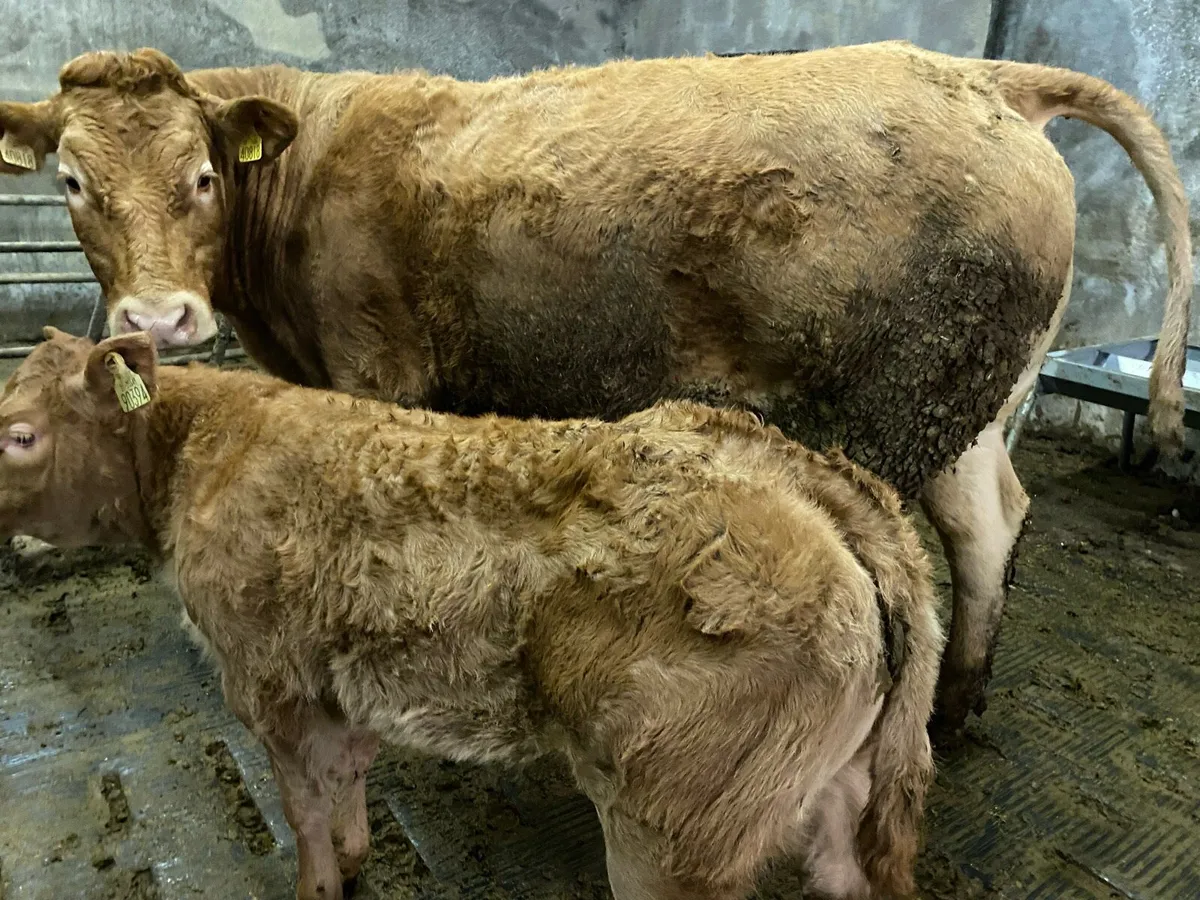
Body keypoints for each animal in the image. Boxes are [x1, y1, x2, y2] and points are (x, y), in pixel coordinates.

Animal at [0, 40, 1191, 733]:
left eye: (204, 175)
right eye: (73, 182)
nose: (160, 319)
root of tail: (986, 76)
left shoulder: (378, 369)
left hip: (888, 410)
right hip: (965, 407)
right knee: (990, 525)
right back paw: (959, 709)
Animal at [1, 327, 943, 900]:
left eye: (17, 434)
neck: (202, 449)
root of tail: (801, 473)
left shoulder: (267, 682)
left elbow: (303, 808)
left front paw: (320, 879)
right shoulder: (344, 681)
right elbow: (346, 782)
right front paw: (356, 858)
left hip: (678, 834)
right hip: (846, 792)